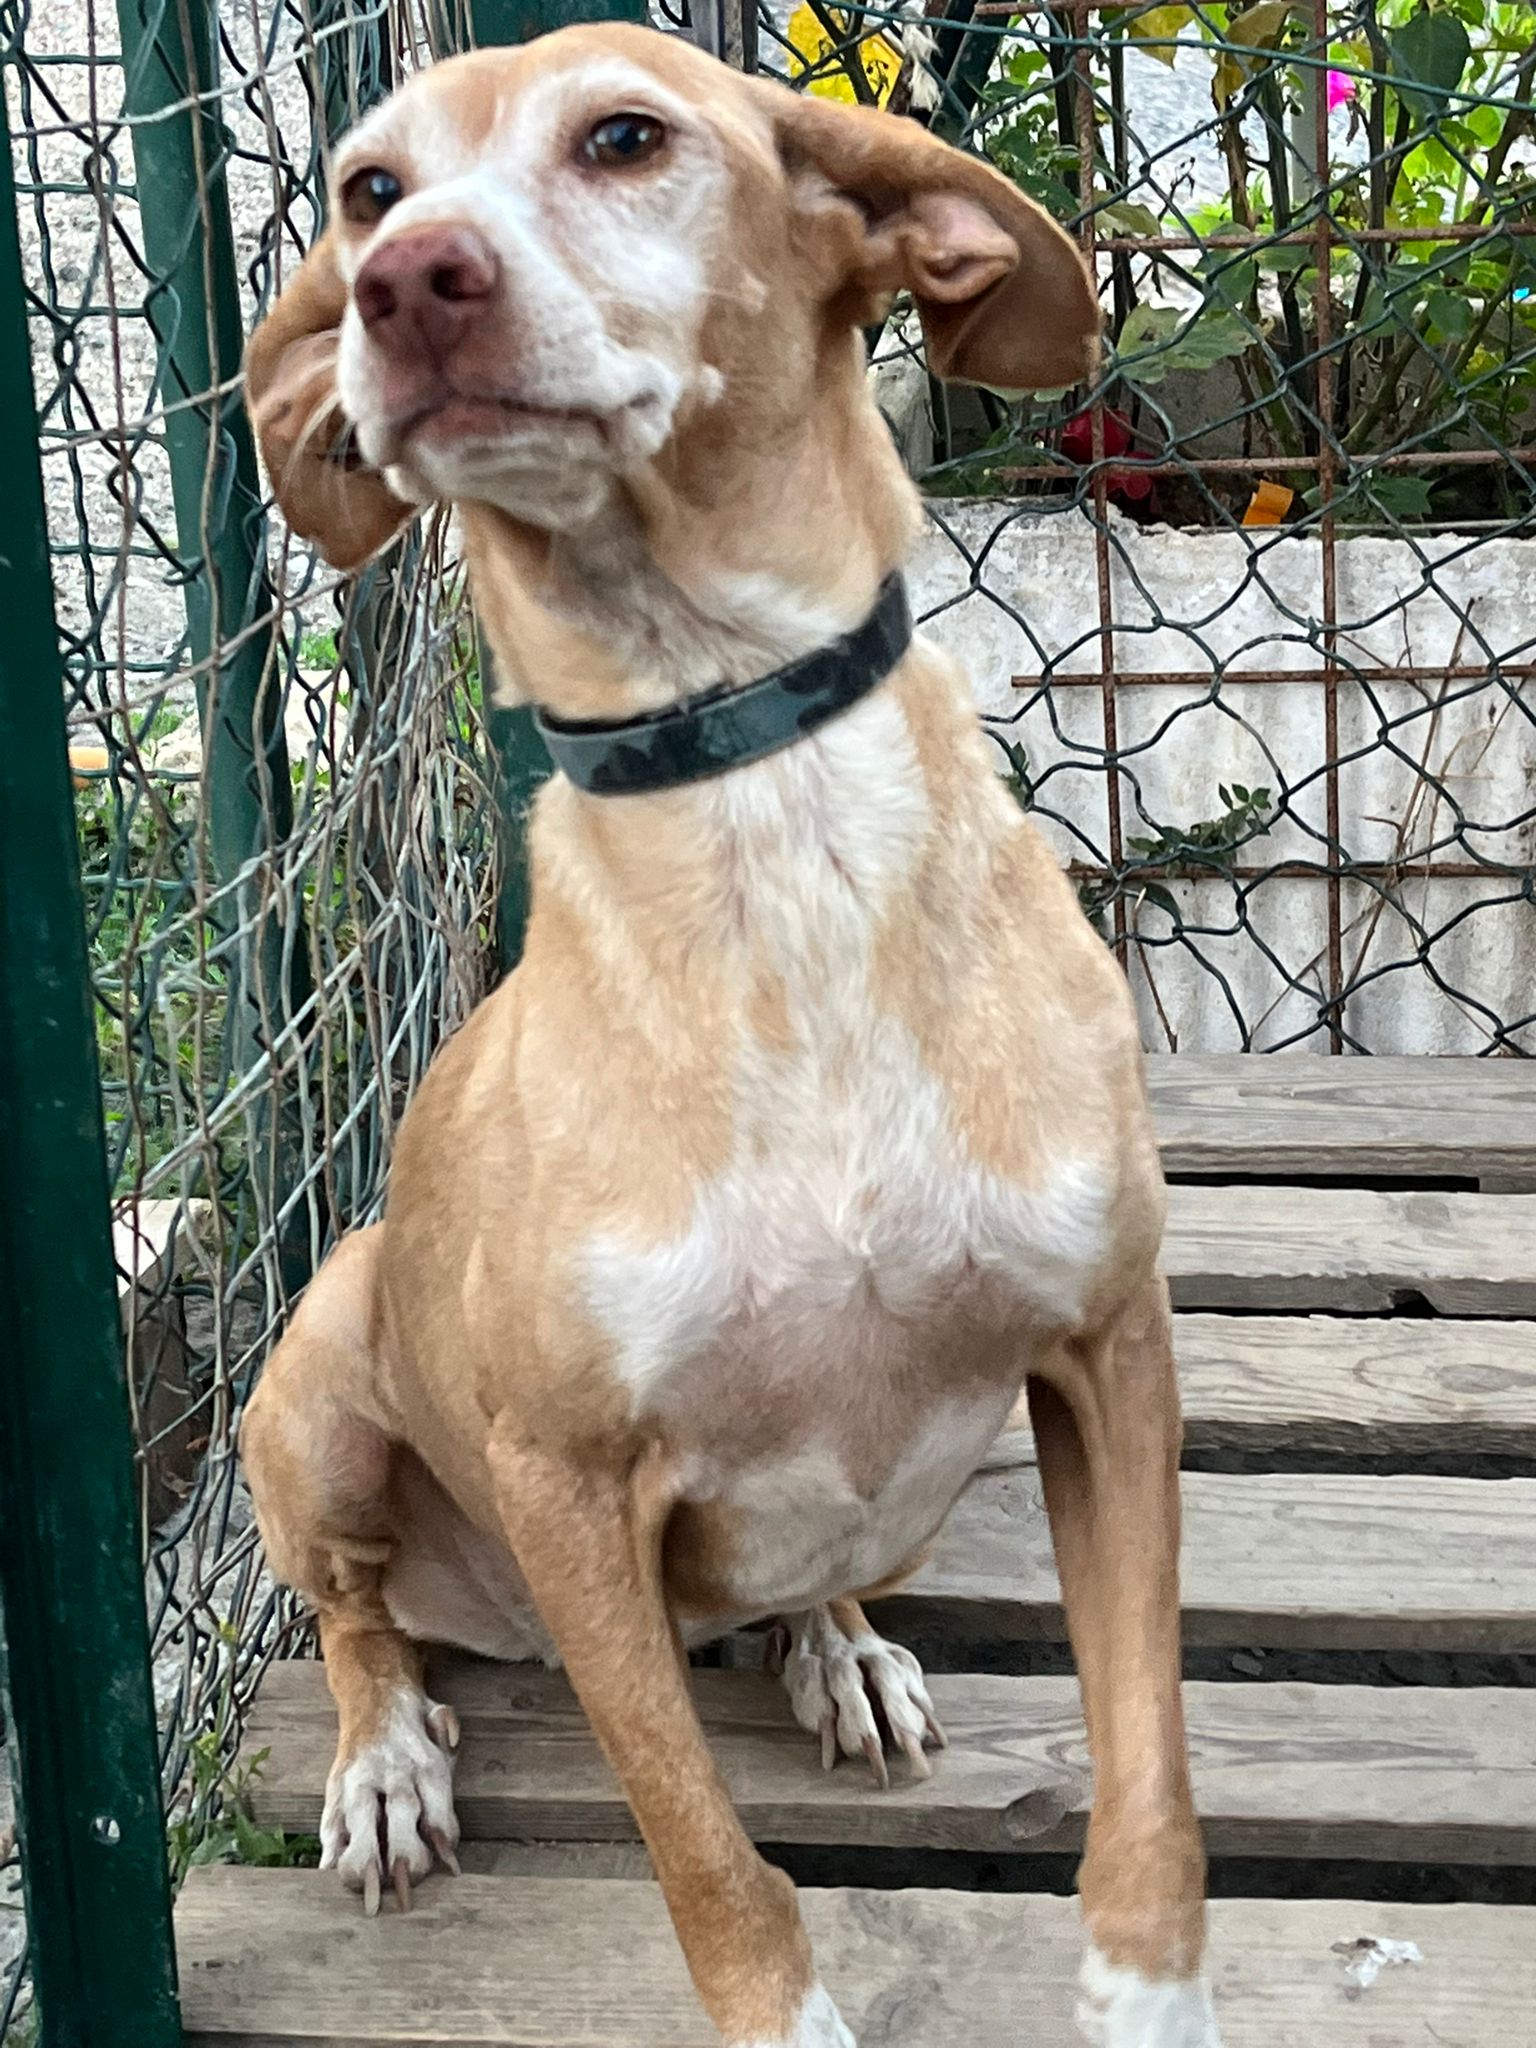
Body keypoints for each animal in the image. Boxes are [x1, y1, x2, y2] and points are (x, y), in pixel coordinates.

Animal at [241, 23, 1219, 2047]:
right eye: (369, 187)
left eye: (626, 136)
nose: (402, 284)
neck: (762, 807)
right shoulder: (561, 1481)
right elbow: (706, 1859)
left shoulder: (1108, 1353)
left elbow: (1150, 1766)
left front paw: (1150, 1994)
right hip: (318, 1387)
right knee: (359, 1616)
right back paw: (384, 1761)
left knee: (809, 1585)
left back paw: (836, 1649)